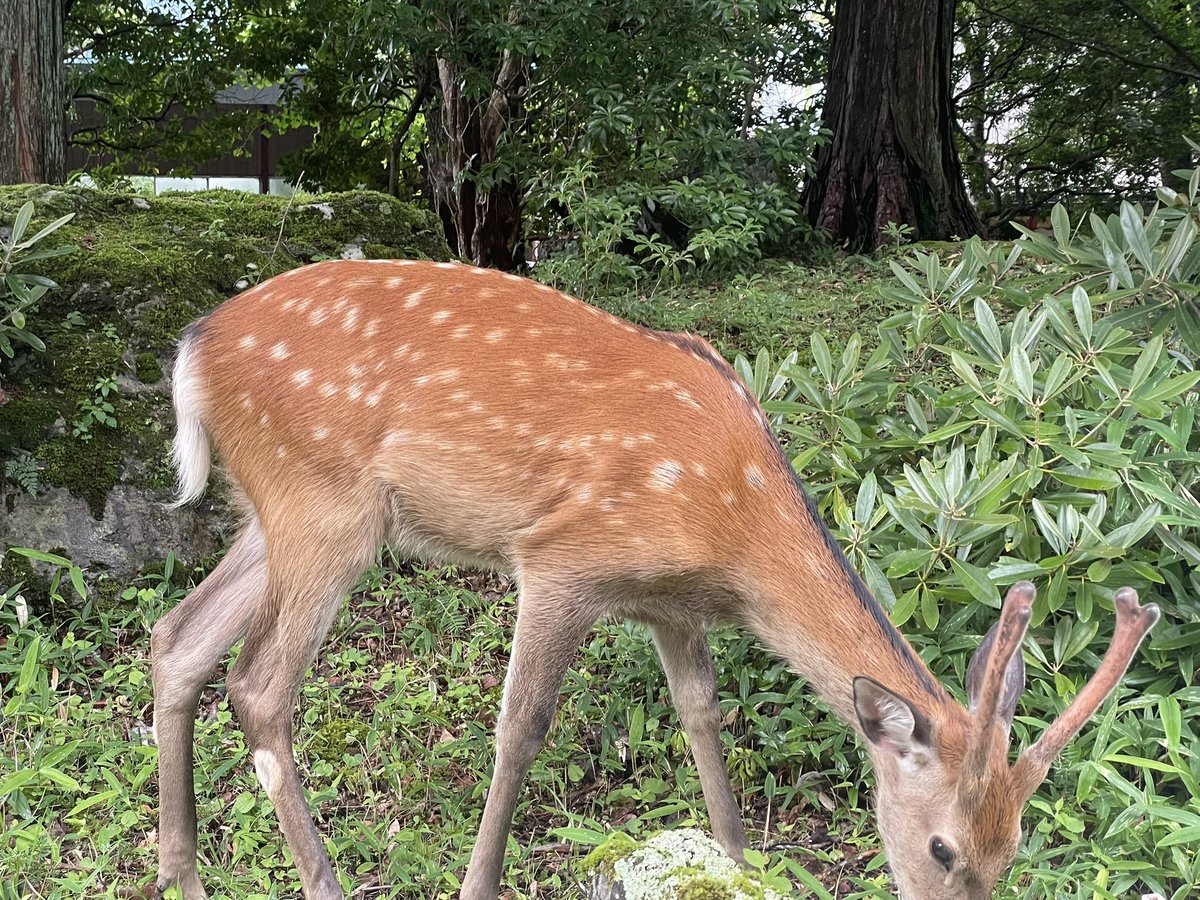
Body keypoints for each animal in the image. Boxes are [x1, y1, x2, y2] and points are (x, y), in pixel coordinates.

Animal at [151, 258, 1160, 900]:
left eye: (1013, 846)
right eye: (943, 847)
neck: (734, 529)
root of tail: (192, 348)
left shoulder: (671, 604)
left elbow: (701, 712)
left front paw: (738, 858)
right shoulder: (563, 559)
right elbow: (521, 728)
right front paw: (479, 883)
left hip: (272, 511)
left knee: (177, 639)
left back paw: (183, 875)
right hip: (323, 501)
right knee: (258, 684)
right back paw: (318, 881)